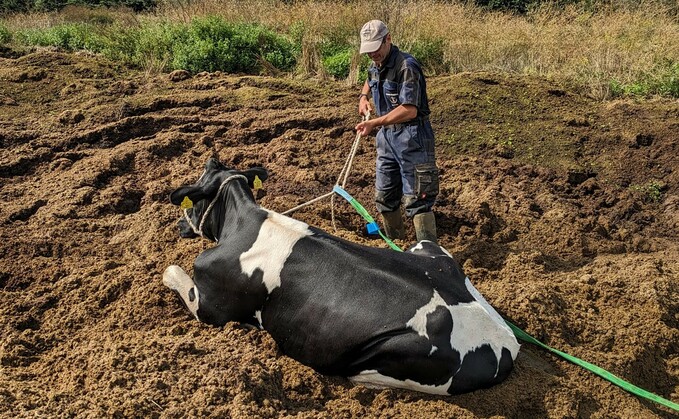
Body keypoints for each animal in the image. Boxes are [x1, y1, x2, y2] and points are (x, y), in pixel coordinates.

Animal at [163, 159, 520, 396]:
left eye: (192, 201)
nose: (178, 225)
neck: (242, 225)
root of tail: (508, 342)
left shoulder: (211, 306)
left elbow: (170, 270)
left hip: (386, 359)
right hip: (431, 250)